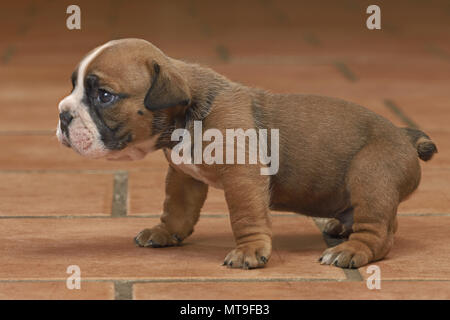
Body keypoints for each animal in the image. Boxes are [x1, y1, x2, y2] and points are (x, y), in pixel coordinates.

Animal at [56, 38, 436, 270]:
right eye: (73, 86)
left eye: (104, 96)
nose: (62, 114)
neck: (188, 113)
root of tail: (404, 135)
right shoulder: (183, 177)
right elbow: (176, 209)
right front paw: (166, 233)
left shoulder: (242, 176)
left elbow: (245, 216)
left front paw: (249, 251)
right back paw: (340, 227)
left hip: (370, 175)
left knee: (380, 231)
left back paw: (351, 249)